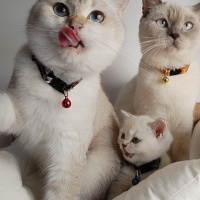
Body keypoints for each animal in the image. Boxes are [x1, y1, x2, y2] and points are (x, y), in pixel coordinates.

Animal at [0, 0, 130, 200]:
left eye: (96, 17)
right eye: (60, 9)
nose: (74, 26)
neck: (59, 86)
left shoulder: (68, 152)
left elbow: (61, 193)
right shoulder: (20, 113)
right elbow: (4, 109)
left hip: (97, 164)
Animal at [115, 0, 200, 162]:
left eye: (187, 25)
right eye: (162, 23)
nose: (175, 34)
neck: (170, 72)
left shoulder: (184, 124)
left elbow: (181, 156)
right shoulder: (153, 113)